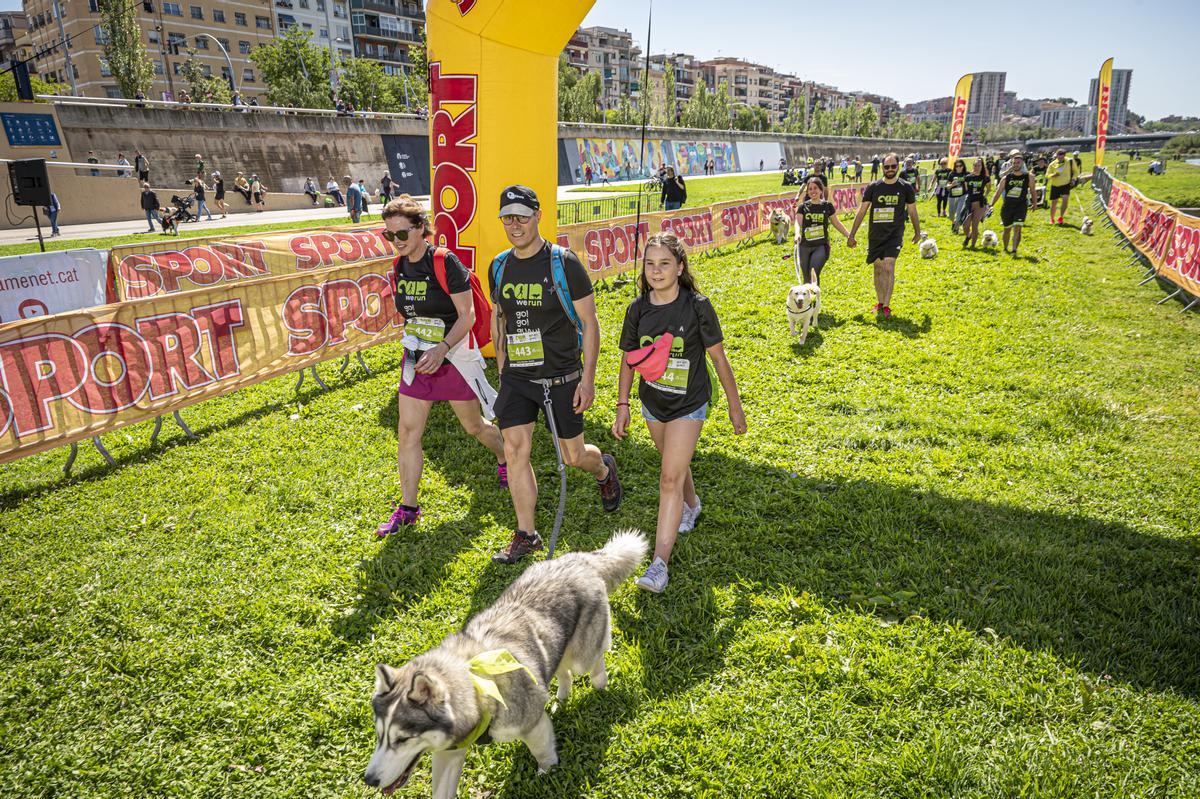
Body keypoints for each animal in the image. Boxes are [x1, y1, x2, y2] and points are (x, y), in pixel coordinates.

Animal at [364, 527, 648, 796]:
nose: (368, 780)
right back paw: (561, 697)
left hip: (583, 653)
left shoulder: (533, 725)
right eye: (379, 736)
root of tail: (579, 558)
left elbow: (543, 754)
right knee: (563, 671)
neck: (477, 687)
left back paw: (600, 682)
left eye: (402, 739)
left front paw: (548, 774)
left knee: (594, 659)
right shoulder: (449, 753)